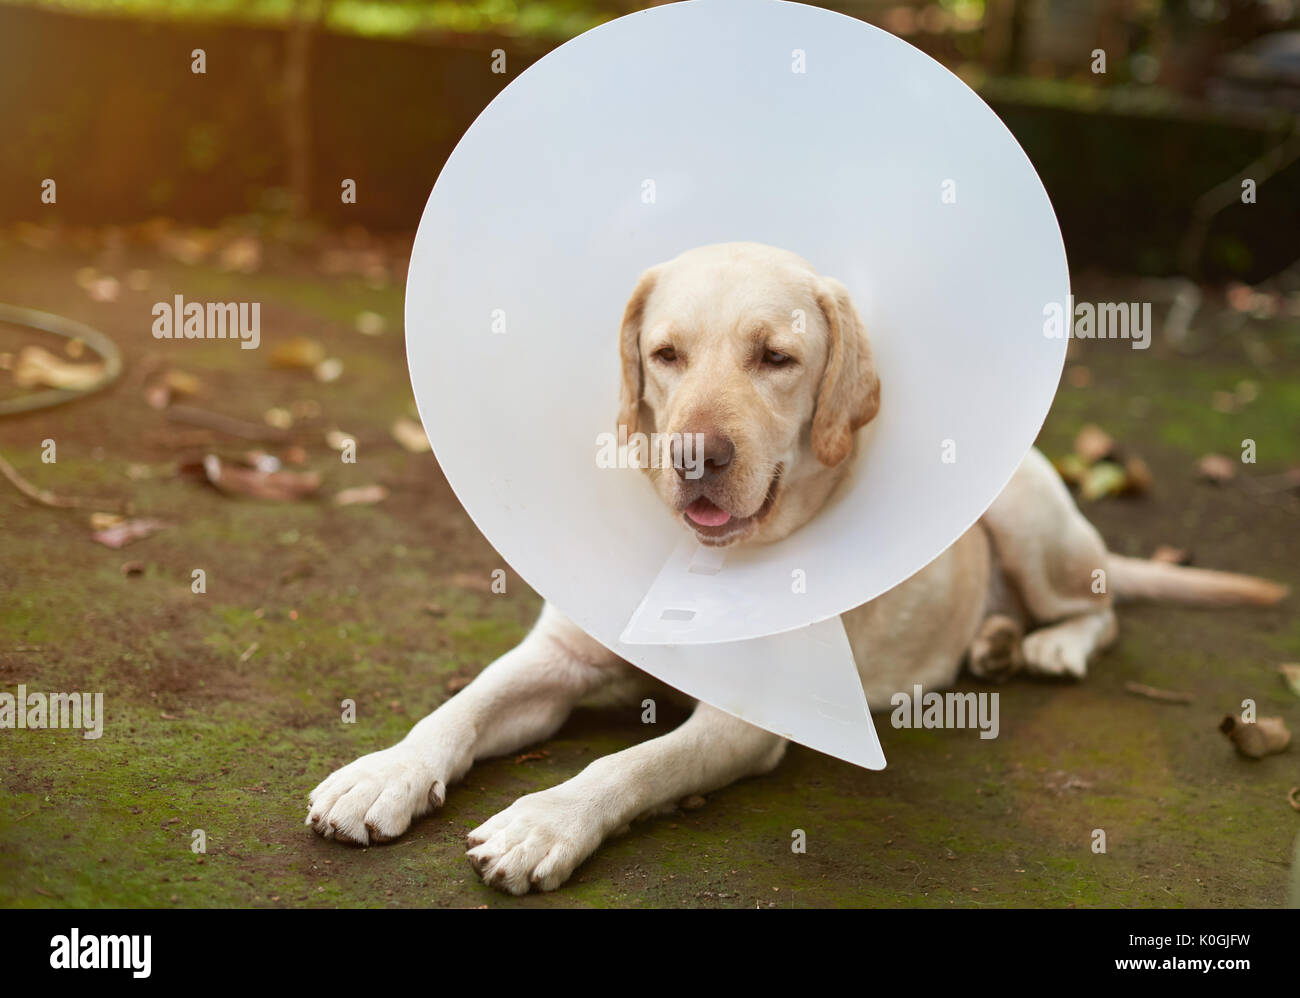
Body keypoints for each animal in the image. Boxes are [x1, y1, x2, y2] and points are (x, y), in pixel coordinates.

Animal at [306, 241, 1289, 894]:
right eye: (664, 354)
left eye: (776, 358)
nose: (695, 456)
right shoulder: (560, 659)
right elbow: (463, 706)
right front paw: (385, 771)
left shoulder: (741, 725)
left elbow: (628, 766)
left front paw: (546, 820)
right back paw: (996, 641)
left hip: (1031, 515)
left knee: (1103, 610)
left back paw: (1047, 646)